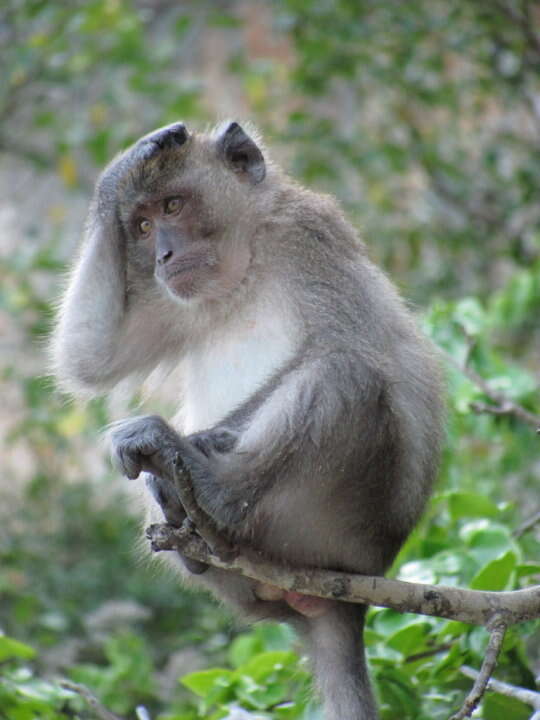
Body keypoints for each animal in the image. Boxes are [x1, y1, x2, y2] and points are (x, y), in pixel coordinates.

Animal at [52, 121, 446, 716]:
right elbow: (90, 357)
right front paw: (121, 169)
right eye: (142, 225)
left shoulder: (309, 235)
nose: (163, 254)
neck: (246, 260)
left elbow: (342, 344)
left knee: (347, 374)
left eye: (173, 205)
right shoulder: (167, 292)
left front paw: (181, 444)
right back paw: (190, 526)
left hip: (344, 527)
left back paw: (209, 485)